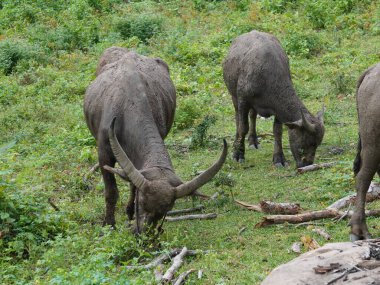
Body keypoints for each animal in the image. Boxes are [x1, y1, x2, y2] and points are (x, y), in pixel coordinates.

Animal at [84, 46, 227, 233]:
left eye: (166, 210)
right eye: (142, 202)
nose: (143, 233)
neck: (129, 104)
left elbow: (132, 183)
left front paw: (129, 212)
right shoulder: (103, 152)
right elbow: (111, 191)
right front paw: (109, 225)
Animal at [223, 31, 324, 168]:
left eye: (317, 144)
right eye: (307, 141)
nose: (307, 163)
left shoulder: (277, 109)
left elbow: (277, 131)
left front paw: (279, 158)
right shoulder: (243, 100)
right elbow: (243, 127)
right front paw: (238, 154)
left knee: (253, 116)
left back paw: (253, 141)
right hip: (234, 97)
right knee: (238, 119)